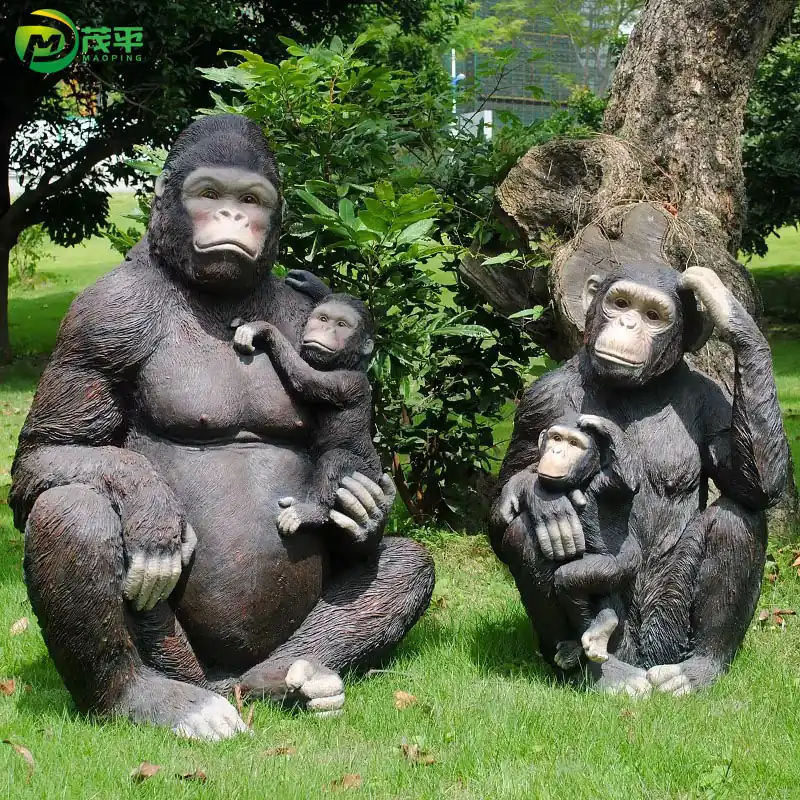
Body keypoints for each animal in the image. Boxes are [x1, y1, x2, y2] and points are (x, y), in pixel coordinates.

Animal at [233, 293, 382, 536]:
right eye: (323, 318)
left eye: (341, 325)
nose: (326, 329)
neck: (349, 363)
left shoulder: (347, 382)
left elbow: (306, 378)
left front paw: (262, 329)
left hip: (364, 472)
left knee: (334, 460)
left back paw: (311, 512)